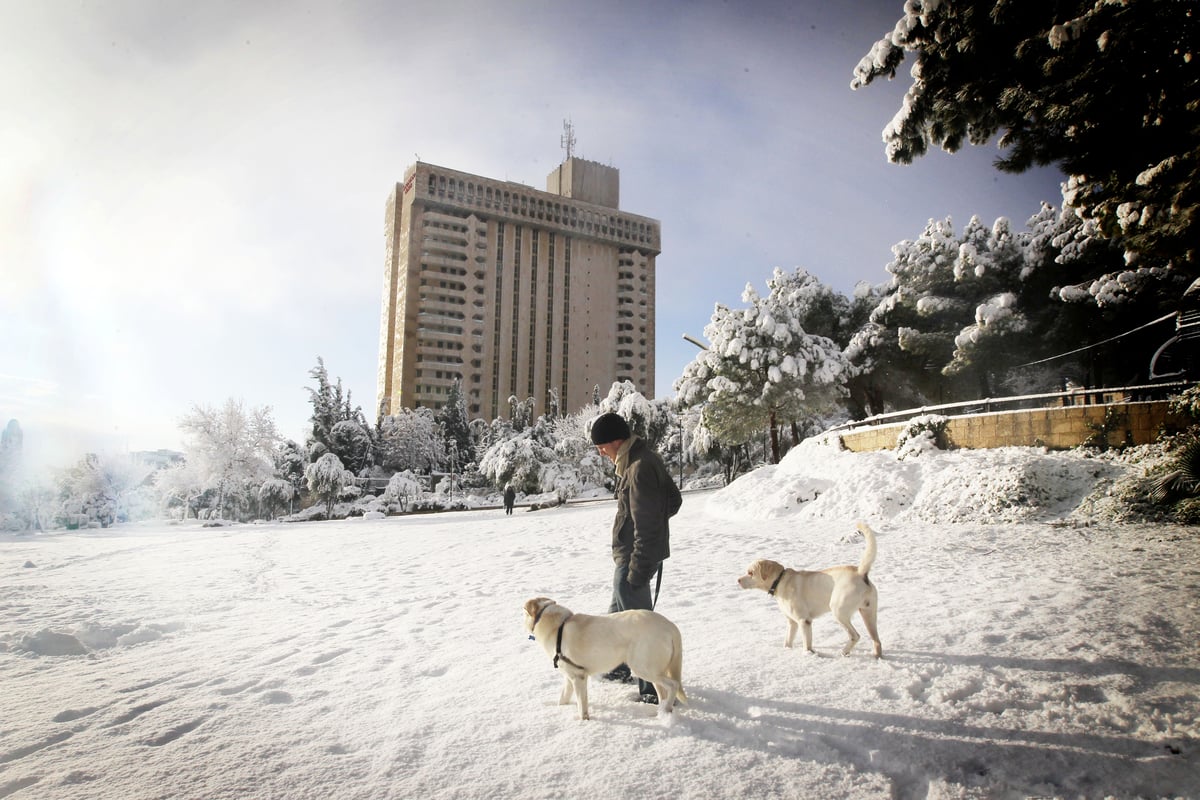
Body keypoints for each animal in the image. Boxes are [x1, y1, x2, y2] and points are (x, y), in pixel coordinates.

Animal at [523, 594, 691, 719]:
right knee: (663, 692)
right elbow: (563, 699)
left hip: (643, 668)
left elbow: (582, 708)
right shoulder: (569, 677)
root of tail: (670, 626)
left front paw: (584, 722)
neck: (557, 627)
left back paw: (666, 709)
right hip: (652, 671)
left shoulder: (579, 676)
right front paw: (560, 710)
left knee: (674, 685)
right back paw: (661, 713)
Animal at [729, 520, 883, 657]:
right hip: (868, 613)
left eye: (750, 573)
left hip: (839, 612)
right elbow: (787, 641)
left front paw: (808, 655)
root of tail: (860, 572)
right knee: (877, 640)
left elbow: (807, 645)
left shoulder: (804, 621)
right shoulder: (792, 622)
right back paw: (877, 656)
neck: (780, 580)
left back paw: (844, 652)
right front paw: (787, 651)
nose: (738, 580)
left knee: (855, 635)